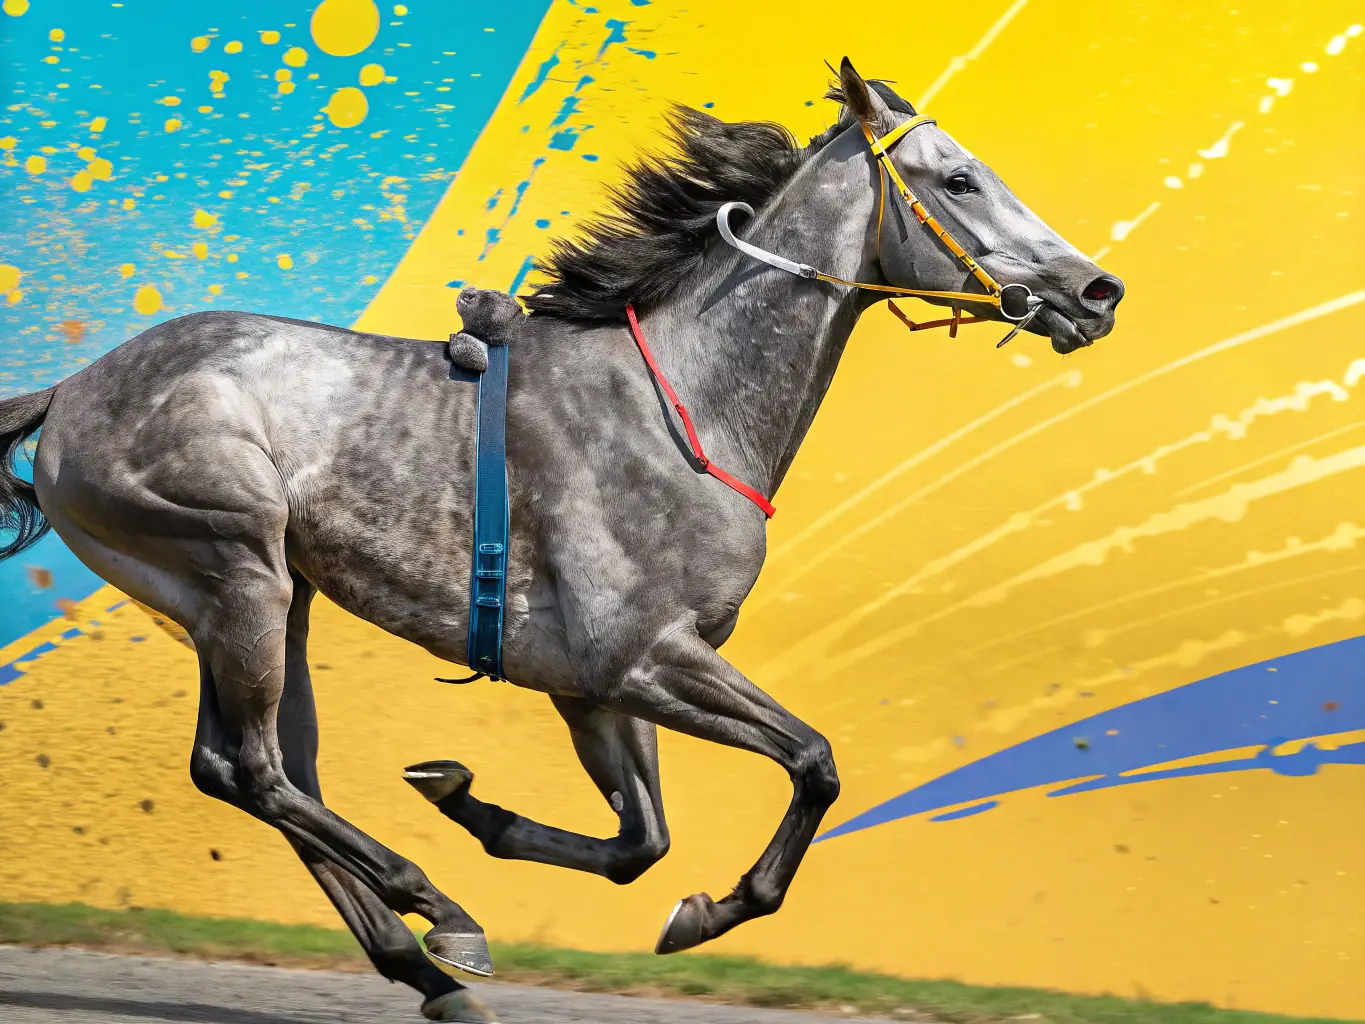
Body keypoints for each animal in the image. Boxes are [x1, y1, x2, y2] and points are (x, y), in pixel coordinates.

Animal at [0, 60, 1123, 1022]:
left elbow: (641, 841)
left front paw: (473, 803)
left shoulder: (596, 684)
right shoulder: (642, 655)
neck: (688, 405)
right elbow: (814, 762)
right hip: (238, 567)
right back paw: (439, 914)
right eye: (958, 178)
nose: (1096, 291)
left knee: (262, 769)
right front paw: (708, 909)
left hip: (269, 599)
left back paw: (425, 967)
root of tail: (72, 388)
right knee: (250, 769)